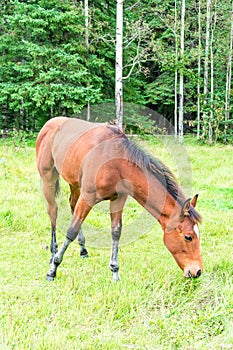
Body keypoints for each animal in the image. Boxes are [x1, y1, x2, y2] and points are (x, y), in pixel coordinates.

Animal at [36, 117, 202, 282]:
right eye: (188, 237)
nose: (197, 271)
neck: (116, 163)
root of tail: (49, 124)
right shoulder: (87, 197)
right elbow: (71, 230)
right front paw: (53, 269)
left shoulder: (118, 199)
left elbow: (116, 232)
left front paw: (115, 272)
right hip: (48, 178)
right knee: (53, 211)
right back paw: (53, 253)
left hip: (74, 183)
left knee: (71, 204)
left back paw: (83, 249)